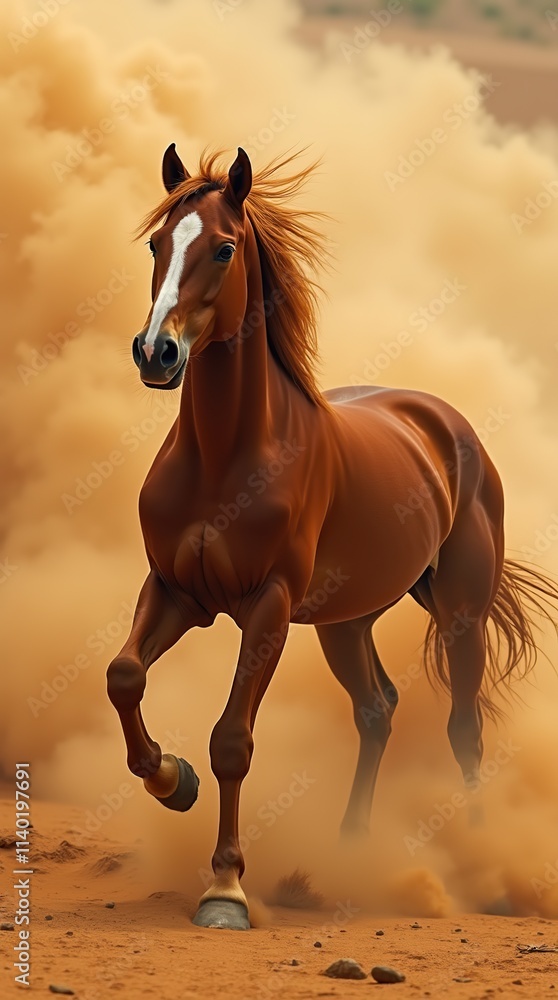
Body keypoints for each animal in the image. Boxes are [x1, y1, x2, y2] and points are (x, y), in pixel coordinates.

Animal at [106, 145, 558, 930]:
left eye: (223, 248)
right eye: (156, 244)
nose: (155, 353)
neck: (225, 457)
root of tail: (446, 423)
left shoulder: (268, 606)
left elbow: (232, 739)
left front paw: (225, 890)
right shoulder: (174, 590)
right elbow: (124, 675)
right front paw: (172, 779)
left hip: (460, 616)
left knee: (464, 728)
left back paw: (488, 872)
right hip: (345, 623)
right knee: (377, 711)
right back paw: (344, 857)